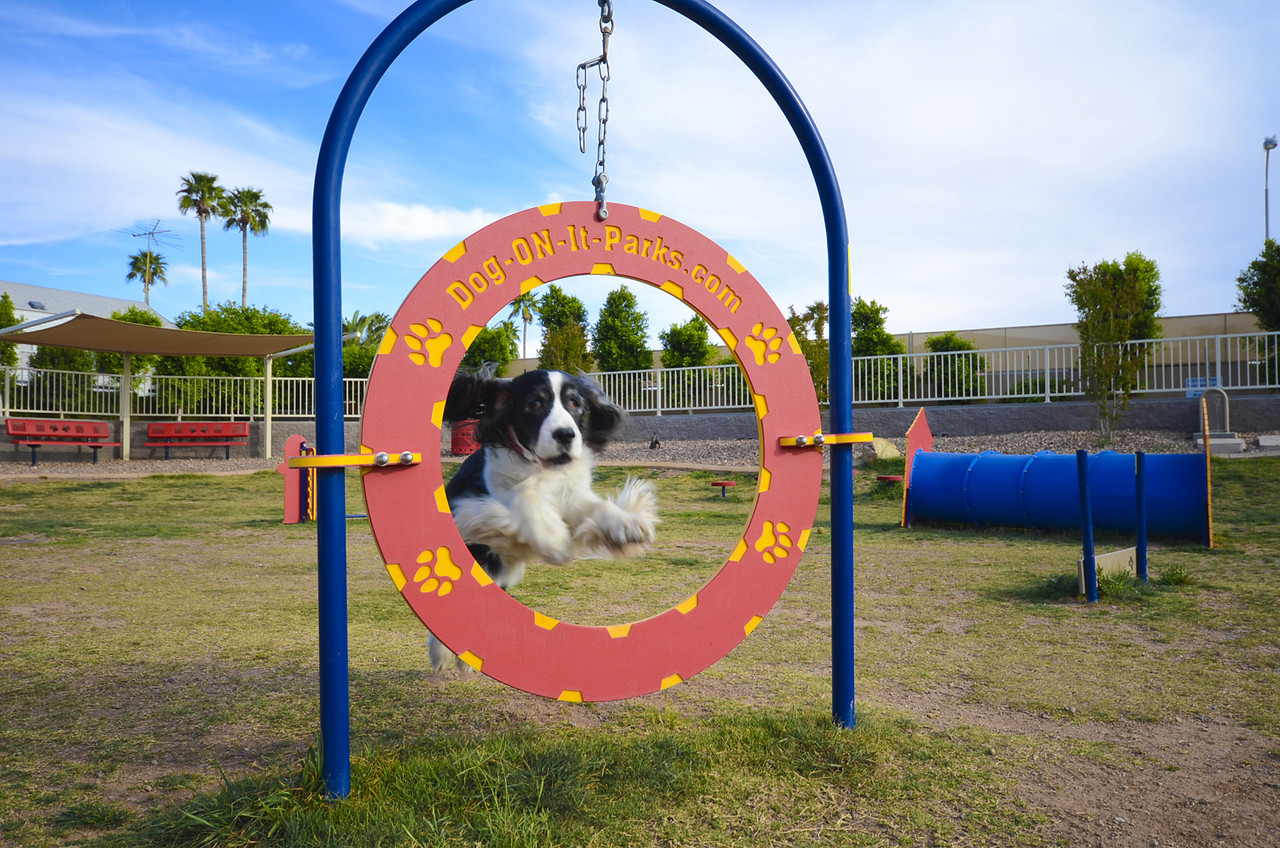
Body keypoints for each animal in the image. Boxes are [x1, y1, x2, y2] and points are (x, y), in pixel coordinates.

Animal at [437, 371, 660, 671]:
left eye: (575, 403)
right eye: (534, 403)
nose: (565, 434)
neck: (544, 470)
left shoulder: (571, 495)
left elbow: (592, 505)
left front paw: (626, 524)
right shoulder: (472, 501)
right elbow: (524, 495)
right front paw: (554, 540)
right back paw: (441, 653)